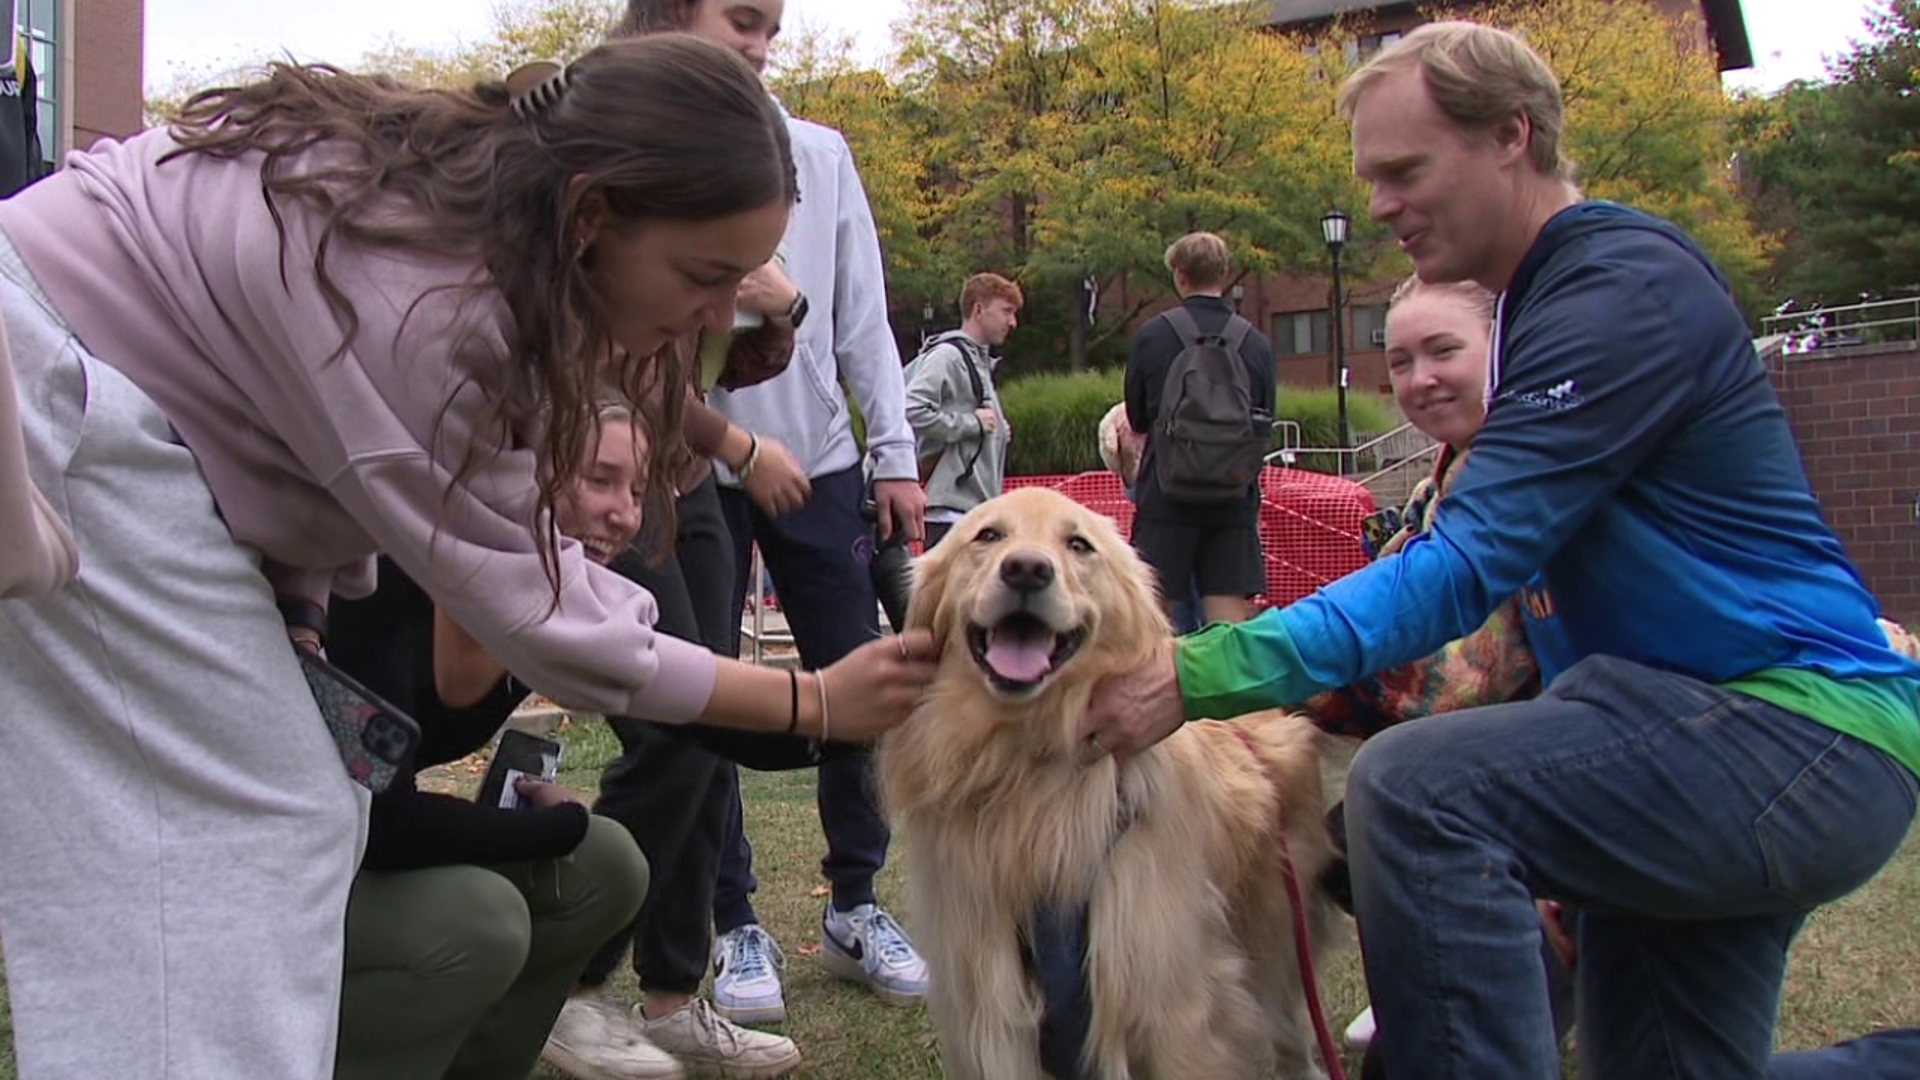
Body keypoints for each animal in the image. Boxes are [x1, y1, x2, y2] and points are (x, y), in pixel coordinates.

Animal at [879, 486, 1344, 1076]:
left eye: (1078, 544)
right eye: (988, 535)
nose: (1027, 569)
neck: (1028, 768)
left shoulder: (1173, 1006)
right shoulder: (990, 1005)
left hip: (1278, 936)